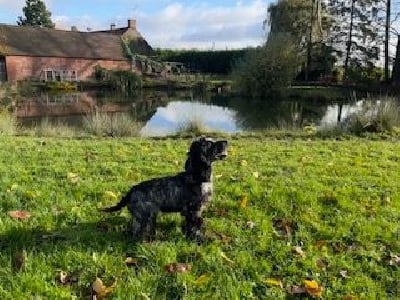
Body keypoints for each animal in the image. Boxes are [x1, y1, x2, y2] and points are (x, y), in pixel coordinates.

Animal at [100, 137, 228, 241]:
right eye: (209, 143)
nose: (226, 141)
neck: (197, 176)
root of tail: (131, 191)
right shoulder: (193, 210)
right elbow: (195, 227)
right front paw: (200, 240)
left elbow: (189, 227)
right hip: (147, 215)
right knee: (141, 232)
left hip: (140, 216)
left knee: (133, 230)